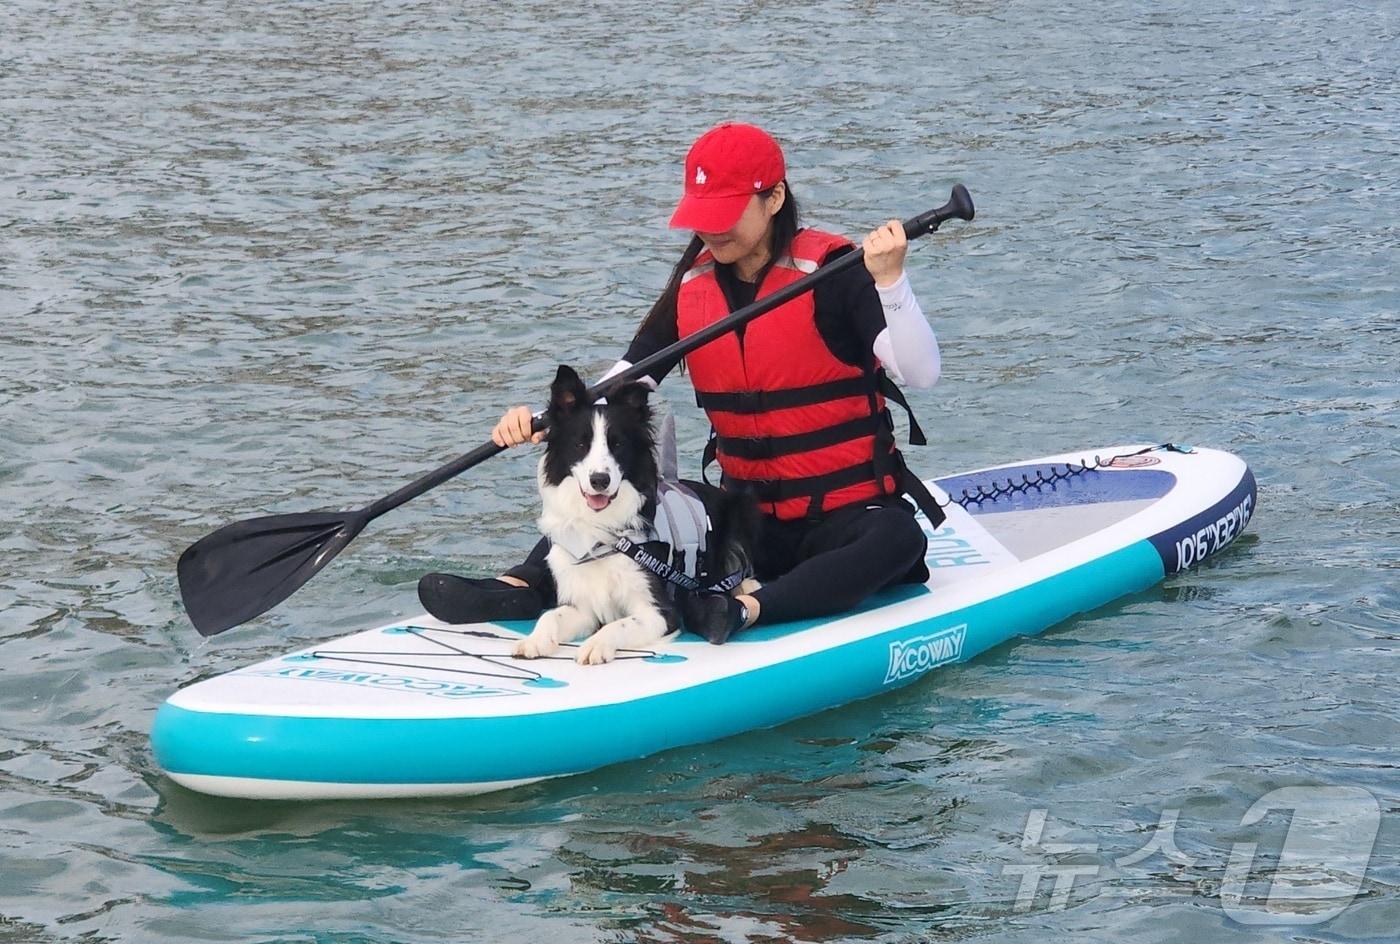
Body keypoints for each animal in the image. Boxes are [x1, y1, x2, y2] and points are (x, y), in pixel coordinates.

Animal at [520, 364, 683, 666]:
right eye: (580, 445)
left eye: (618, 445)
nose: (599, 480)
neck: (601, 535)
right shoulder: (582, 606)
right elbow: (551, 616)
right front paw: (534, 641)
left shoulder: (660, 612)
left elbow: (618, 624)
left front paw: (595, 646)